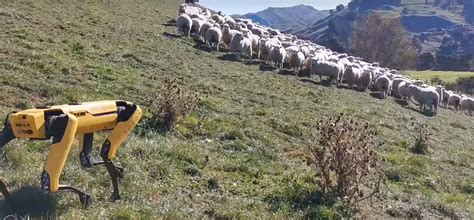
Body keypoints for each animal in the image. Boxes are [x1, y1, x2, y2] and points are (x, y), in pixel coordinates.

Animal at [0, 99, 143, 206]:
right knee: (50, 183)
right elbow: (104, 155)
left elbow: (96, 158)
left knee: (91, 159)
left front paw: (117, 182)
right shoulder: (68, 123)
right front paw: (115, 194)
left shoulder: (78, 128)